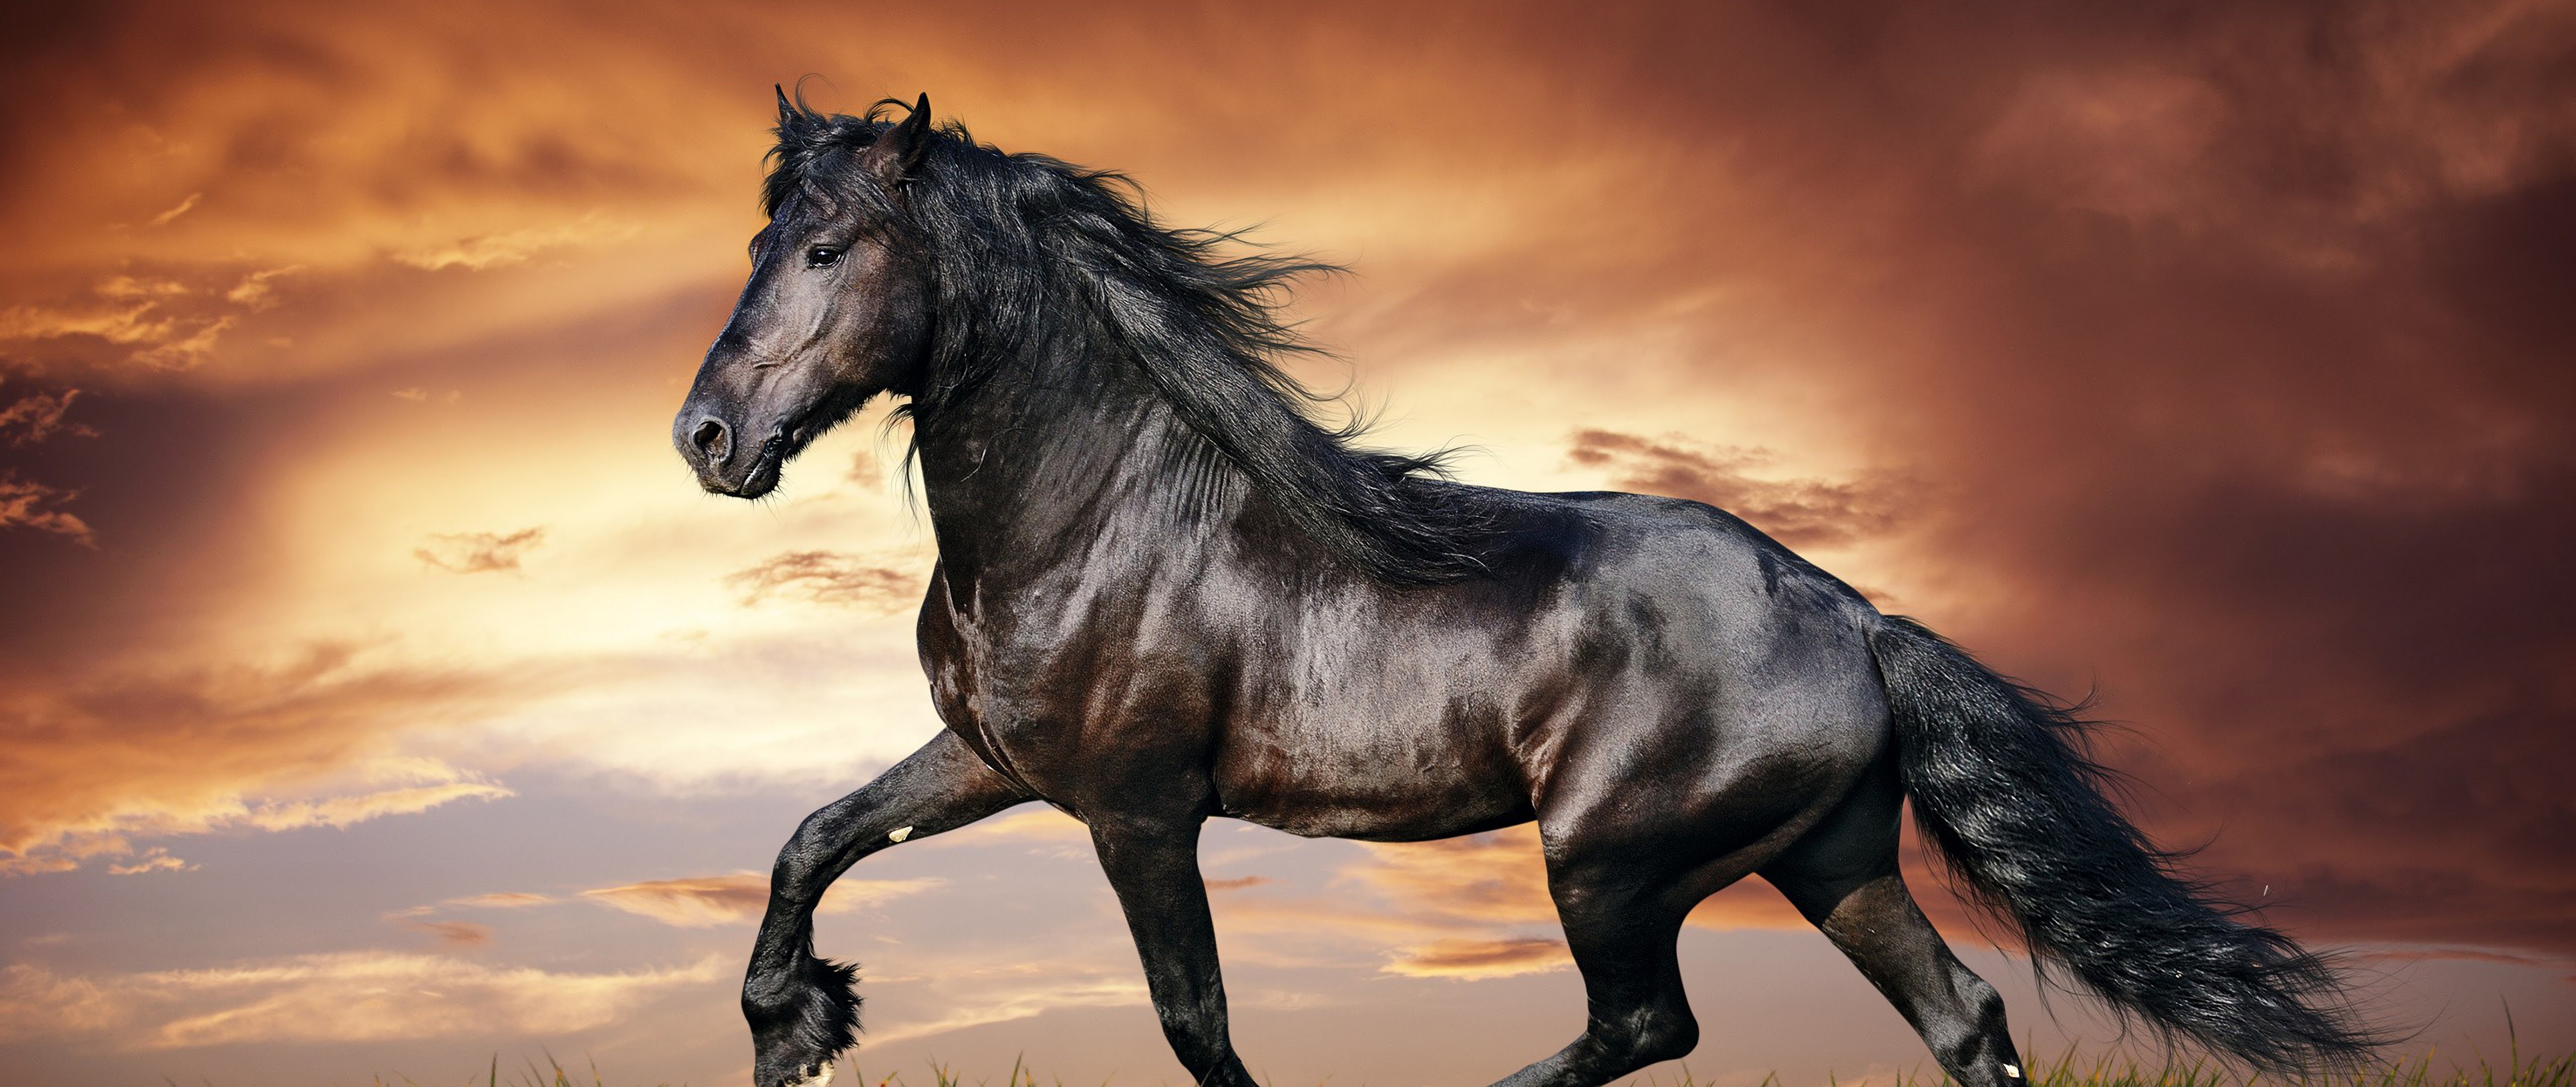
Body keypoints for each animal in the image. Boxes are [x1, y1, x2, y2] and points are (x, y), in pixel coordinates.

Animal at [672, 91, 2376, 1087]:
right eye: (762, 238)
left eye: (825, 247)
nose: (707, 440)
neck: (1095, 517)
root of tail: (1853, 618)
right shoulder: (997, 762)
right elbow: (809, 840)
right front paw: (793, 1027)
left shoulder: (1137, 810)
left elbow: (1194, 1023)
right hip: (1826, 858)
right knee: (1958, 1020)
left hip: (1607, 860)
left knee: (1647, 1024)